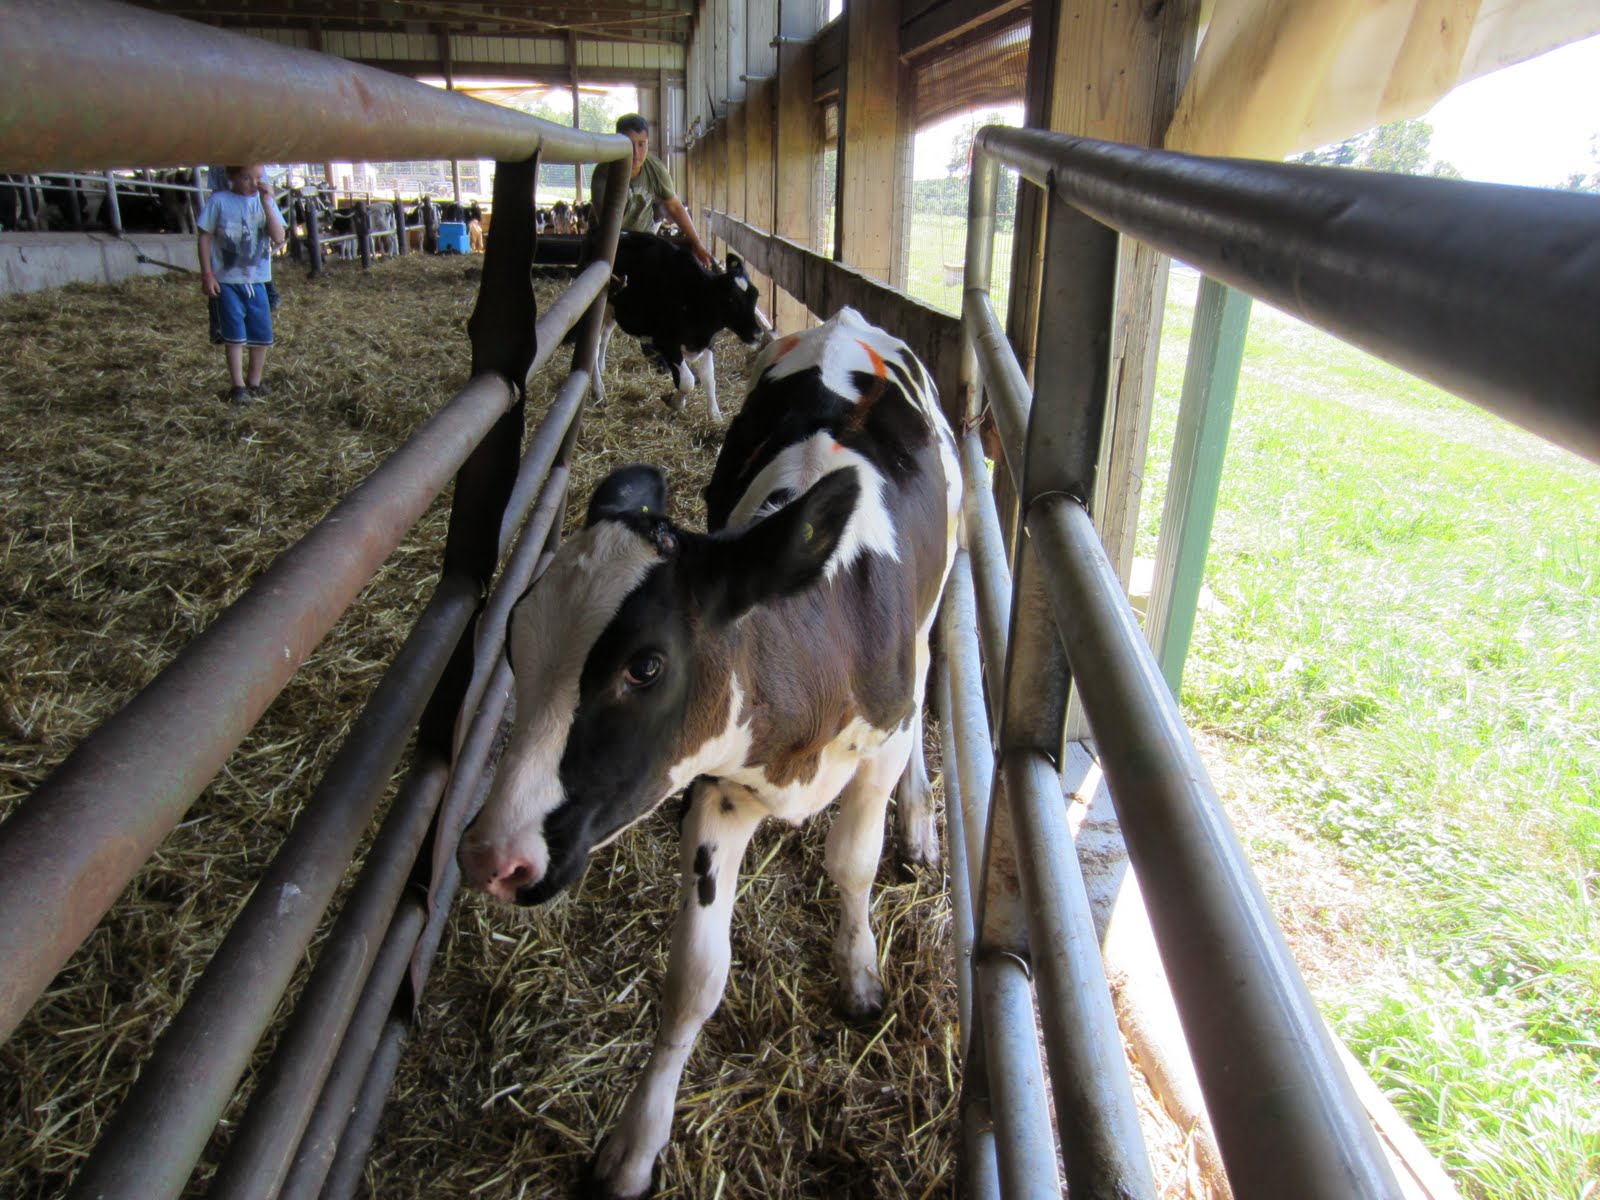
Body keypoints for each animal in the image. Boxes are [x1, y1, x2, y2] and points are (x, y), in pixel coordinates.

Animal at [458, 306, 961, 1199]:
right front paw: (633, 1145)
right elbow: (693, 978)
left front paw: (860, 970)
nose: (491, 857)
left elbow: (852, 865)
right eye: (513, 639)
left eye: (646, 665)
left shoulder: (875, 747)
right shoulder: (719, 790)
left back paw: (921, 821)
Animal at [592, 231, 773, 421]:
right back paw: (599, 391)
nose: (757, 334)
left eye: (756, 295)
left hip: (617, 310)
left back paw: (602, 368)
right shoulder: (666, 342)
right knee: (594, 346)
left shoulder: (708, 341)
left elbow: (708, 377)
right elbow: (687, 381)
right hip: (602, 306)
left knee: (605, 335)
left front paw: (715, 415)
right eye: (731, 299)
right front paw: (675, 402)